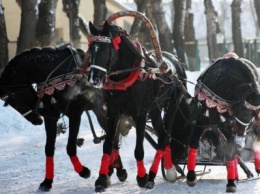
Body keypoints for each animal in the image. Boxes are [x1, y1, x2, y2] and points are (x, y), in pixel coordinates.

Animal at [0, 44, 126, 192]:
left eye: (11, 99)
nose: (37, 118)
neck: (56, 75)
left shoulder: (75, 113)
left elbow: (70, 147)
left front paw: (84, 171)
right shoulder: (50, 117)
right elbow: (49, 148)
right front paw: (47, 182)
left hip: (103, 111)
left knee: (113, 137)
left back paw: (116, 172)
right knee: (112, 136)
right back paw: (112, 171)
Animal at [87, 20, 189, 191]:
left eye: (105, 49)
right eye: (90, 49)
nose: (93, 79)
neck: (124, 78)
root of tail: (176, 60)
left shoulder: (140, 114)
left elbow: (138, 150)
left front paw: (142, 178)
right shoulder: (112, 114)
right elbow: (108, 145)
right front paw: (102, 179)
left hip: (172, 104)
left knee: (165, 135)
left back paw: (159, 174)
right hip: (155, 109)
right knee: (162, 134)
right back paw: (169, 169)